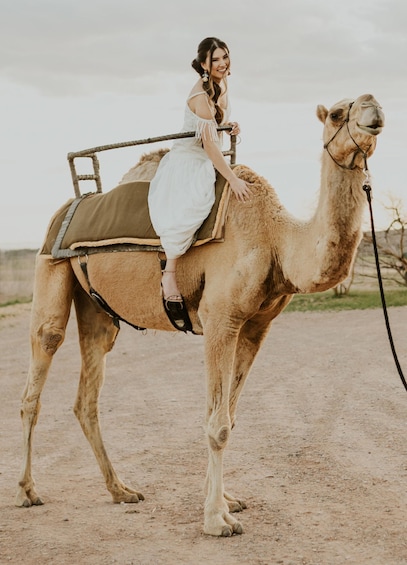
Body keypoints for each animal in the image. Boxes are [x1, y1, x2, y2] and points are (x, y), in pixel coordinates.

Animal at [15, 93, 386, 536]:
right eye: (336, 113)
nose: (374, 109)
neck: (276, 238)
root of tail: (69, 206)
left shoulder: (256, 326)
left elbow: (228, 415)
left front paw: (227, 501)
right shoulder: (219, 318)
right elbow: (218, 425)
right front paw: (216, 519)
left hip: (96, 309)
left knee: (87, 394)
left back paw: (121, 489)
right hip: (49, 265)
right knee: (41, 362)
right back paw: (28, 491)